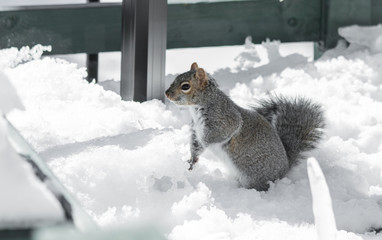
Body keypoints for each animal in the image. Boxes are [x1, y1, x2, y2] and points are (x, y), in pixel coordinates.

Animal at [166, 62, 324, 191]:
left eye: (185, 86)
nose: (167, 94)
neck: (198, 107)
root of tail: (284, 170)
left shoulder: (225, 120)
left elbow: (216, 136)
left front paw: (206, 146)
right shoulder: (195, 129)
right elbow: (195, 145)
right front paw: (191, 161)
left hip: (253, 176)